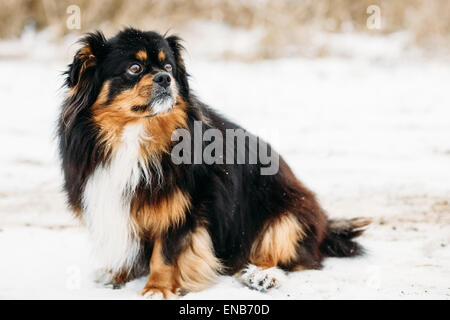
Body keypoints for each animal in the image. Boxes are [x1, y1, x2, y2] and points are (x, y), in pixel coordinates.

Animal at [58, 28, 370, 298]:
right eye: (134, 68)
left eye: (168, 67)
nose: (164, 79)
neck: (136, 133)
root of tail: (325, 226)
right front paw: (117, 275)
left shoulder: (184, 207)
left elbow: (165, 252)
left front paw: (157, 289)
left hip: (289, 213)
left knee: (288, 256)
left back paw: (261, 275)